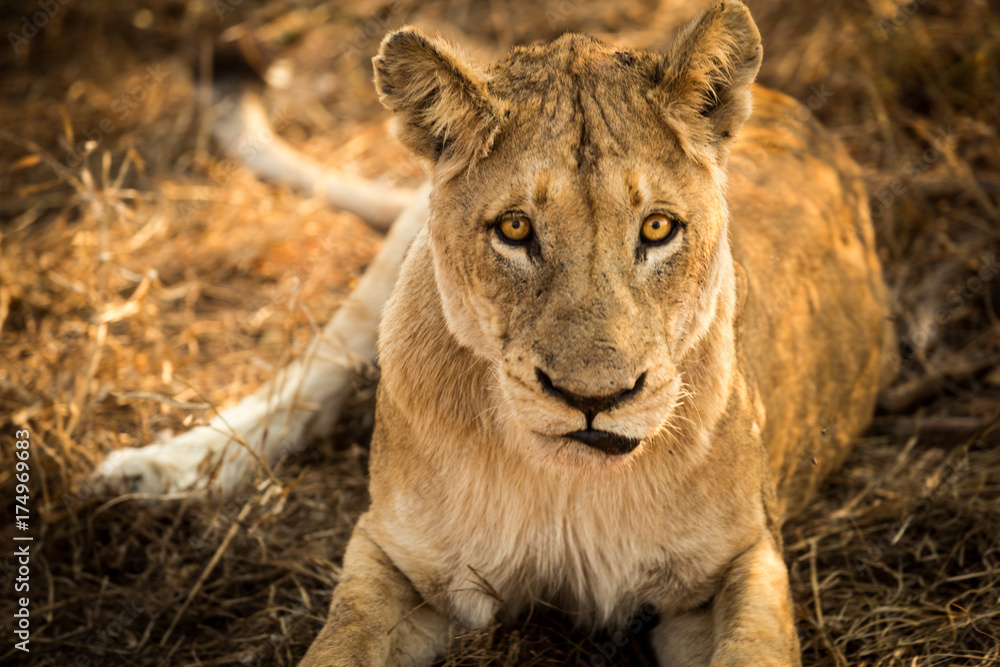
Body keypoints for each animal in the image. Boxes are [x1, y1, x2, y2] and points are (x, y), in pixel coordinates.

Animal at [296, 2, 893, 666]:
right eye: (515, 228)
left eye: (657, 227)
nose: (593, 399)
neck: (570, 488)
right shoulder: (393, 554)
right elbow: (341, 641)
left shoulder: (744, 557)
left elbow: (753, 650)